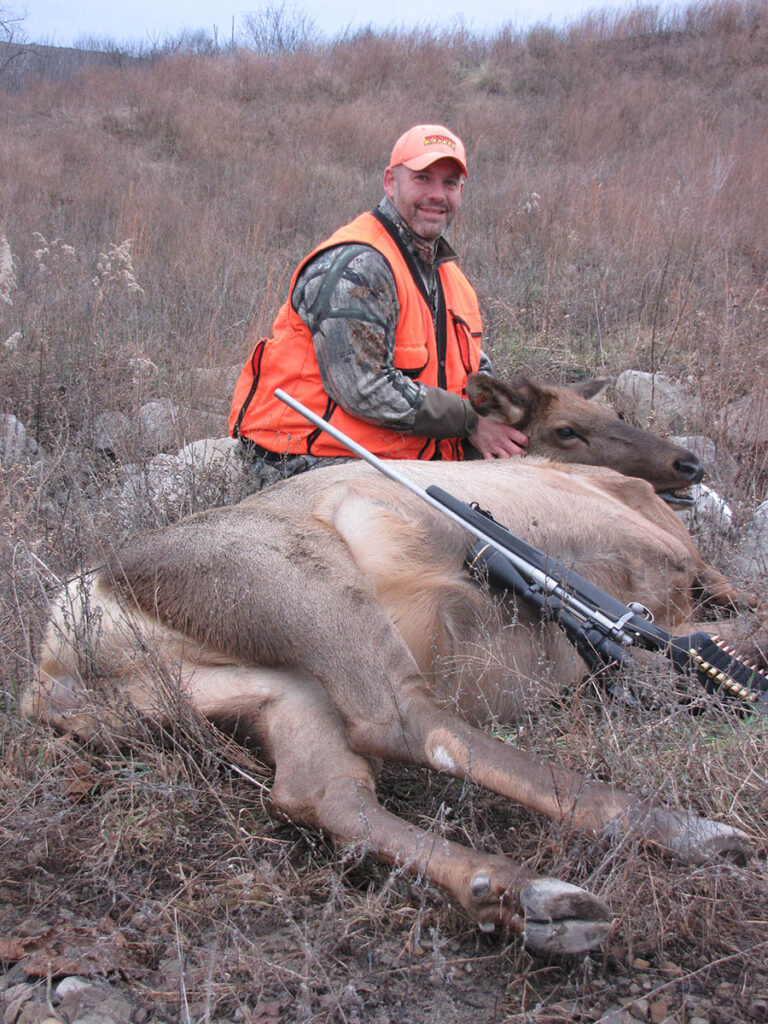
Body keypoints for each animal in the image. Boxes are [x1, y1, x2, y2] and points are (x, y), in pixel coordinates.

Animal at [24, 373, 753, 957]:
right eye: (568, 427)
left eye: (617, 412)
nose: (687, 463)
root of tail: (53, 666)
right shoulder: (674, 562)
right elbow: (728, 626)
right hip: (309, 580)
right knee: (411, 724)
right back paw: (689, 832)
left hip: (268, 690)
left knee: (320, 792)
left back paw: (522, 895)